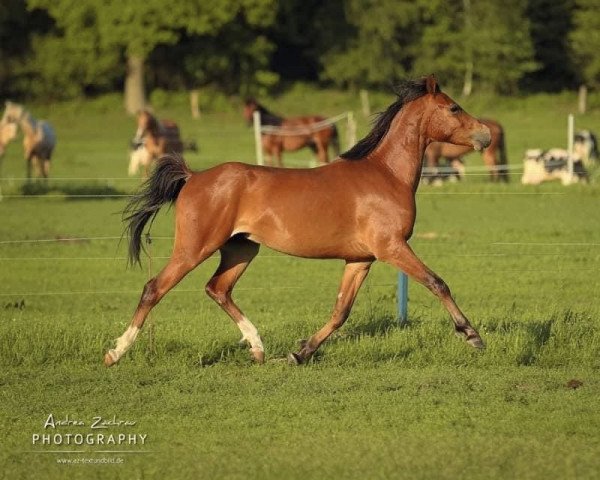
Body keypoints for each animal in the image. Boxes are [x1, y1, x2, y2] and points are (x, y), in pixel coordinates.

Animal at [105, 75, 492, 368]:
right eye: (454, 107)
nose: (486, 135)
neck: (385, 174)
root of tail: (194, 176)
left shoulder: (360, 259)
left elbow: (340, 311)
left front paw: (300, 353)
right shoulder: (392, 247)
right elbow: (437, 282)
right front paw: (472, 335)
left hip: (241, 249)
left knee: (218, 289)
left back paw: (258, 348)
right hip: (194, 248)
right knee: (154, 288)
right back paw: (116, 352)